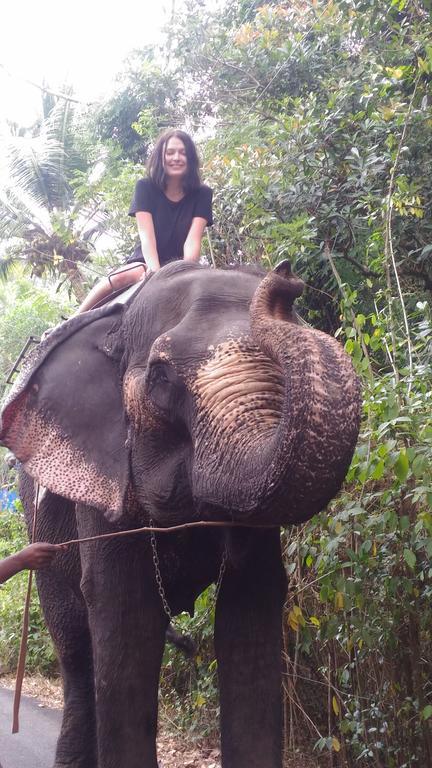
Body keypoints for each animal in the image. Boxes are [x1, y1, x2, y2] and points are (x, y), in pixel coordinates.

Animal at [0, 262, 362, 768]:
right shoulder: (101, 484)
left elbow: (251, 607)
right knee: (75, 651)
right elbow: (125, 612)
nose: (286, 279)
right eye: (161, 378)